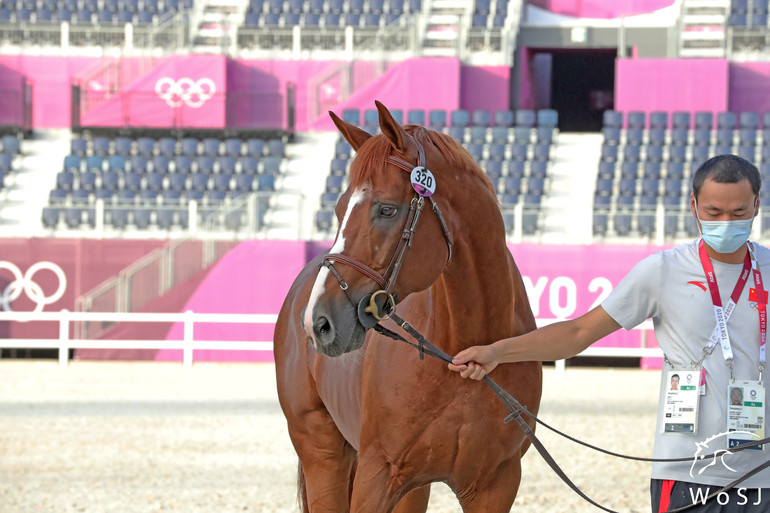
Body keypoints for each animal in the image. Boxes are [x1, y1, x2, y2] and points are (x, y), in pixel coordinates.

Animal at [272, 102, 540, 510]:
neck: (466, 348)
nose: (319, 322)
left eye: (387, 210)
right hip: (322, 452)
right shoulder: (377, 475)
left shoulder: (497, 484)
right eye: (338, 209)